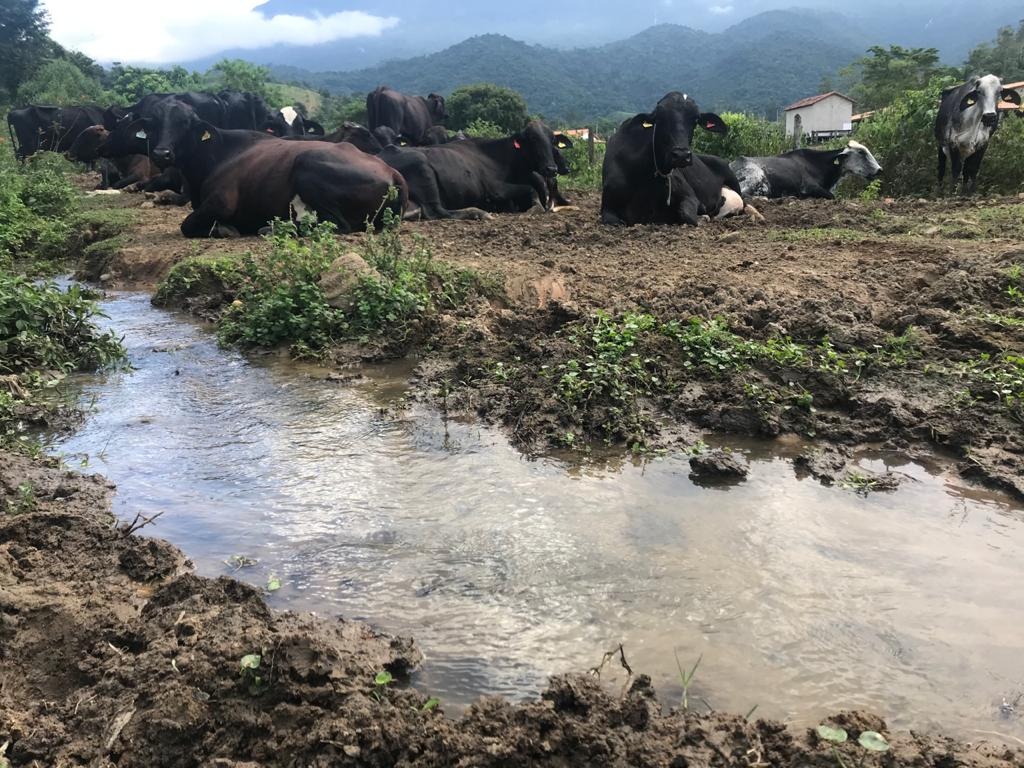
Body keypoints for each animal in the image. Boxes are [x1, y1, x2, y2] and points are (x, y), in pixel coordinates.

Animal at [598, 92, 753, 227]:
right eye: (659, 118)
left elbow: (688, 214)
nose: (681, 155)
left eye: (695, 120)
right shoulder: (607, 207)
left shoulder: (690, 196)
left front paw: (704, 216)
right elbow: (612, 220)